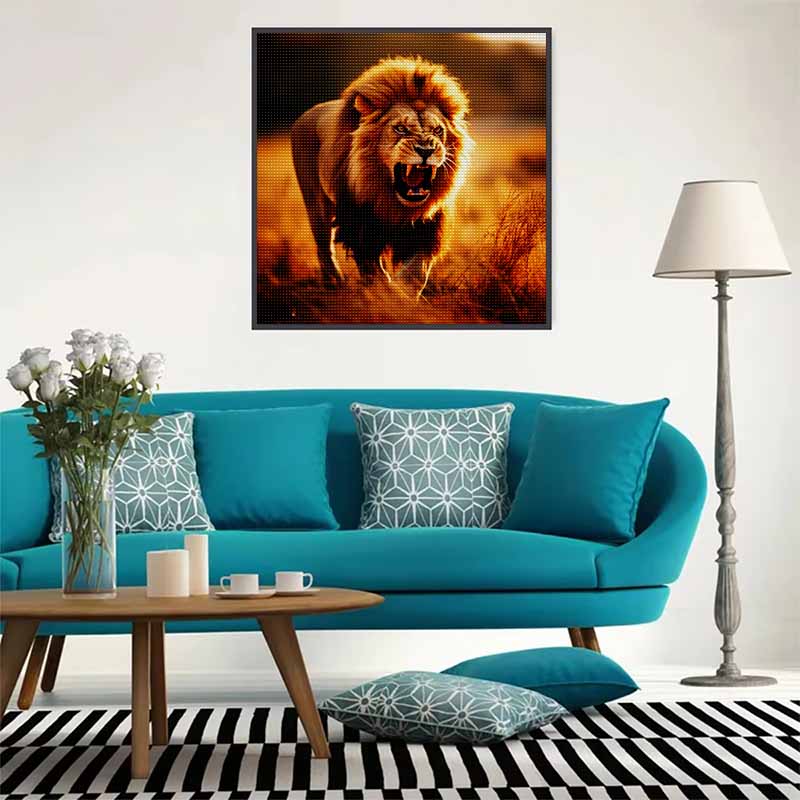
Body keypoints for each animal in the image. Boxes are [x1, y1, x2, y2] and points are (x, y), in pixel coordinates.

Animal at [290, 56, 472, 296]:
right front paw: (386, 293)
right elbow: (373, 270)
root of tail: (307, 113)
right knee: (324, 246)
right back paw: (335, 283)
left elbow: (416, 270)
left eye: (437, 130)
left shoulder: (429, 226)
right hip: (315, 202)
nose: (426, 149)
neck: (395, 204)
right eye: (401, 128)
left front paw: (403, 293)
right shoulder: (359, 225)